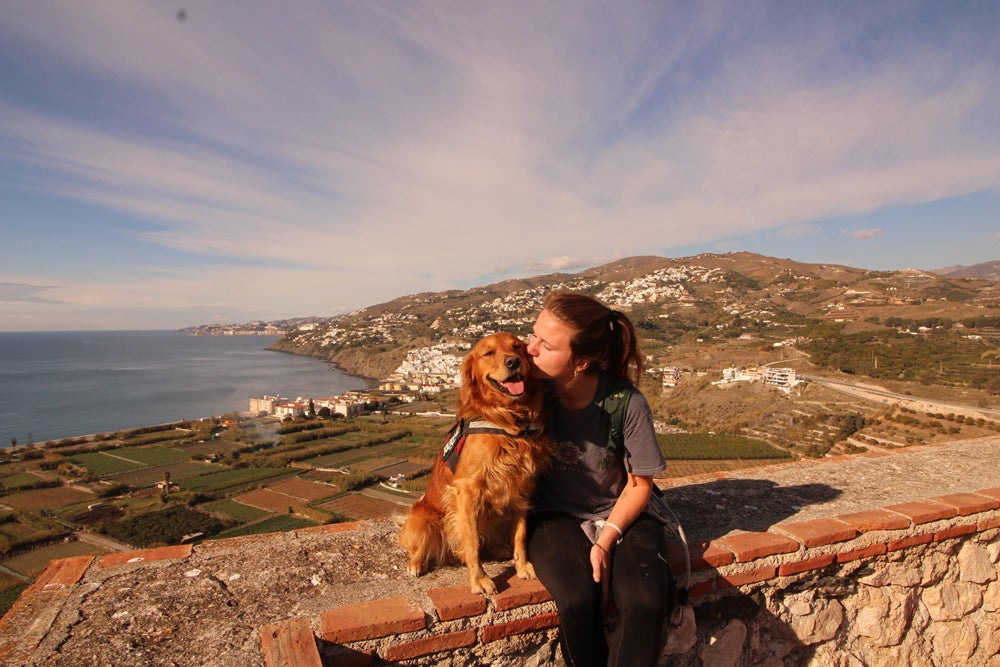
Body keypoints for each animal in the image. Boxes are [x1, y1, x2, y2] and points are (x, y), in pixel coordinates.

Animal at [398, 332, 552, 596]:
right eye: (488, 353)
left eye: (517, 347)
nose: (513, 362)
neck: (505, 421)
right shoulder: (467, 491)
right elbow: (471, 543)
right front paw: (479, 579)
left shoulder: (521, 488)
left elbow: (520, 535)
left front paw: (522, 566)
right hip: (423, 519)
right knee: (421, 546)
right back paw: (415, 563)